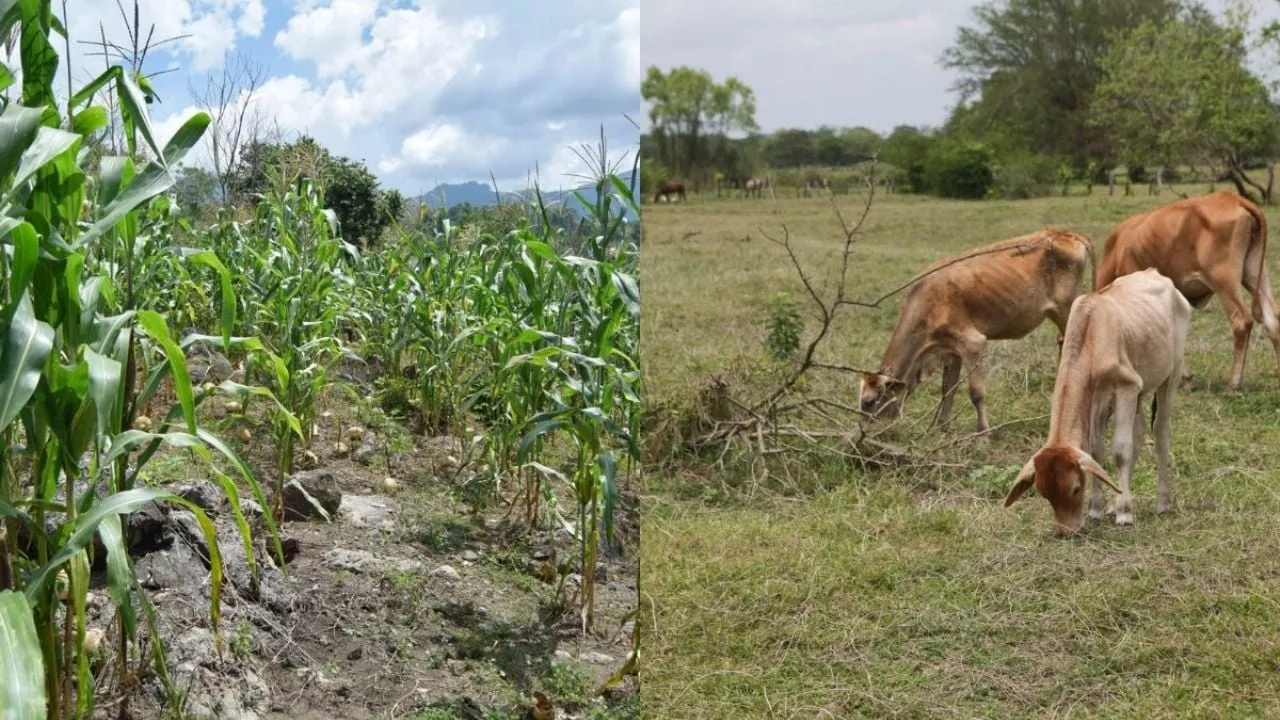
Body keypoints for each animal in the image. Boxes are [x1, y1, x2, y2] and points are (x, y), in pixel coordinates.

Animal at [855, 226, 1095, 435]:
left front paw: (983, 435)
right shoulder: (950, 351)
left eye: (868, 402)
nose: (865, 434)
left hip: (1066, 309)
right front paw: (943, 429)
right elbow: (948, 389)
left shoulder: (973, 342)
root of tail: (1063, 232)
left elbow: (976, 393)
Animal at [998, 267, 1187, 532]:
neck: (1093, 336)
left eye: (1075, 488)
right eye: (1044, 493)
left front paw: (1125, 513)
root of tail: (1157, 274)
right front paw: (1098, 508)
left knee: (1160, 432)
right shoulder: (1095, 401)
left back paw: (1162, 501)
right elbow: (1095, 451)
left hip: (1171, 374)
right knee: (1139, 432)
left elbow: (1120, 450)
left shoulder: (1127, 387)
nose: (1066, 531)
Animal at [1090, 190, 1280, 389]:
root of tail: (1234, 198)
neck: (1117, 250)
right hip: (1254, 273)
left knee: (1241, 321)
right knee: (1272, 318)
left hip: (1224, 279)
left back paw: (1234, 382)